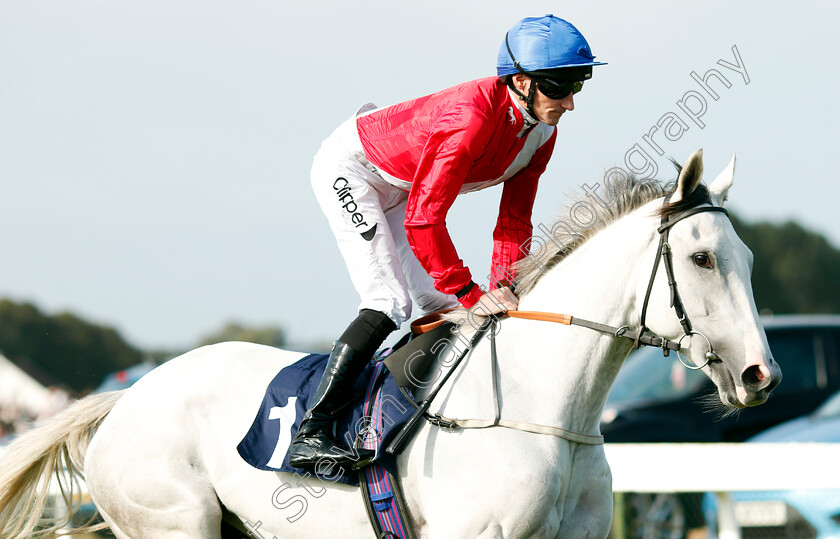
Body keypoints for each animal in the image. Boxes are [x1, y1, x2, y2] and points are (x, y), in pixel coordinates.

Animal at [0, 150, 780, 536]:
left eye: (748, 256)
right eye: (702, 258)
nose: (759, 374)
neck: (545, 410)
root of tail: (124, 398)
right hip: (171, 521)